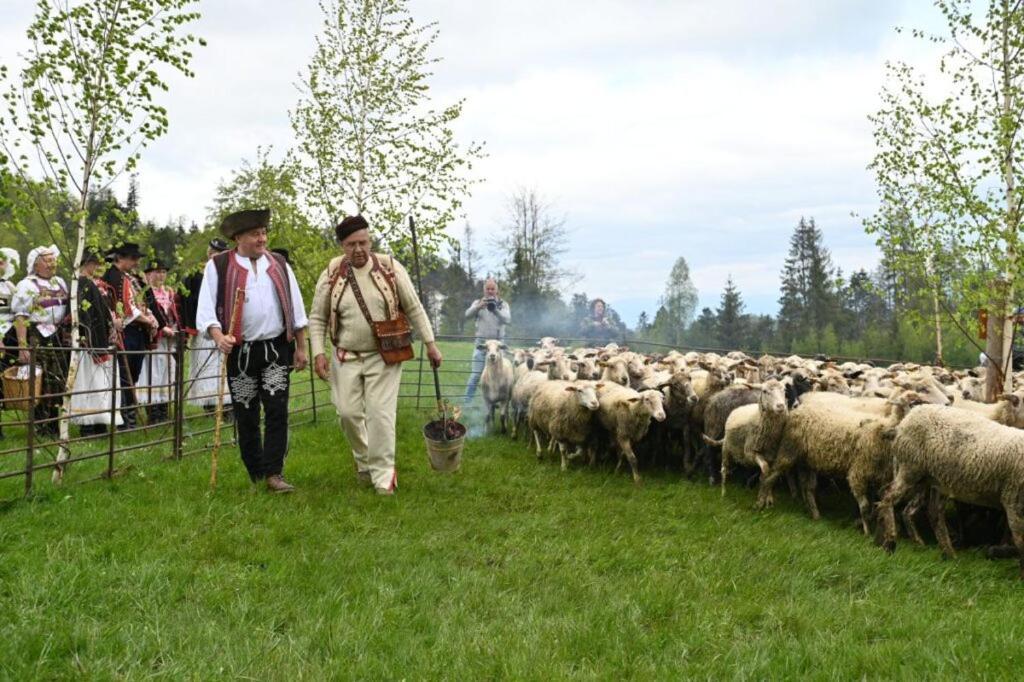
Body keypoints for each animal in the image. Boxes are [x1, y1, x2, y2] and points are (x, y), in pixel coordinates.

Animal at [876, 405, 1024, 577]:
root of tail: (903, 422)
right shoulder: (1012, 499)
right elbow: (1020, 539)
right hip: (910, 467)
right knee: (887, 496)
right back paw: (890, 543)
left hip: (934, 479)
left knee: (933, 513)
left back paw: (948, 553)